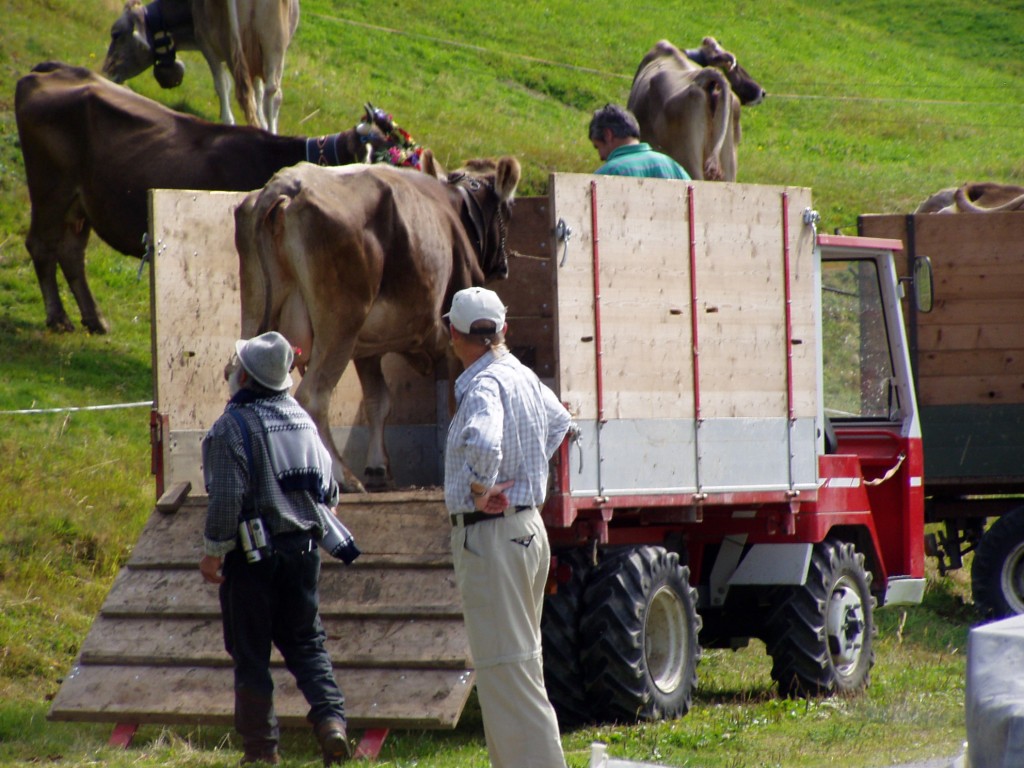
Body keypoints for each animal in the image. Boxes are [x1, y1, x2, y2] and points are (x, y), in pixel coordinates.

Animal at [12, 62, 411, 333]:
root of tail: (54, 69)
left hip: (81, 204)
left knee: (70, 252)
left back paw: (94, 319)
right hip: (51, 188)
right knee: (42, 245)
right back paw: (58, 317)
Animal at [102, 0, 299, 132]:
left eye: (116, 34)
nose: (105, 72)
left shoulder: (206, 43)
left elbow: (224, 85)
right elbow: (257, 91)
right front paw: (263, 124)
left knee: (228, 86)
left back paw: (228, 121)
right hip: (274, 48)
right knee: (272, 93)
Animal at [232, 155, 520, 493]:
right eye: (509, 210)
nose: (504, 266)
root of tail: (286, 185)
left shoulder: (367, 349)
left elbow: (378, 402)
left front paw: (379, 468)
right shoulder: (452, 341)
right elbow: (453, 403)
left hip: (257, 310)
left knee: (240, 377)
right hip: (341, 323)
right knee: (313, 395)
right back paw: (343, 477)